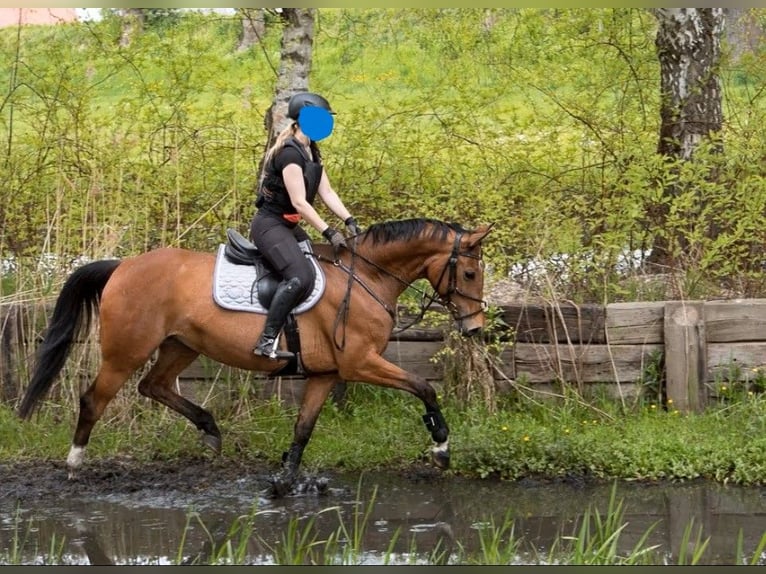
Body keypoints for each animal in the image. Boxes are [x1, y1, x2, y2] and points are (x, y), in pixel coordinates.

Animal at [18, 218, 493, 495]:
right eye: (470, 273)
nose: (474, 328)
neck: (366, 278)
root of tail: (122, 265)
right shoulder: (359, 363)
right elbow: (423, 387)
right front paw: (441, 447)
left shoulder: (326, 374)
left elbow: (303, 429)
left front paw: (284, 480)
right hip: (126, 351)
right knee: (95, 399)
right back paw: (75, 464)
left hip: (182, 344)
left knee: (154, 385)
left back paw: (210, 429)